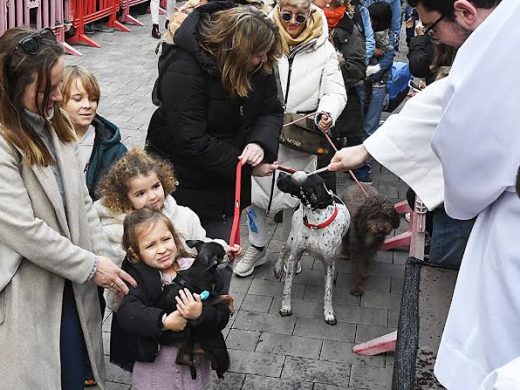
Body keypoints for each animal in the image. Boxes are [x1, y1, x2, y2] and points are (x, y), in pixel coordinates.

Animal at [272, 172, 350, 324]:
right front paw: (285, 307)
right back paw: (278, 268)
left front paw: (329, 313)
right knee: (284, 248)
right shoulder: (294, 256)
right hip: (292, 238)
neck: (316, 222)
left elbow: (328, 292)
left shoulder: (329, 263)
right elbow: (287, 287)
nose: (281, 173)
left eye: (297, 178)